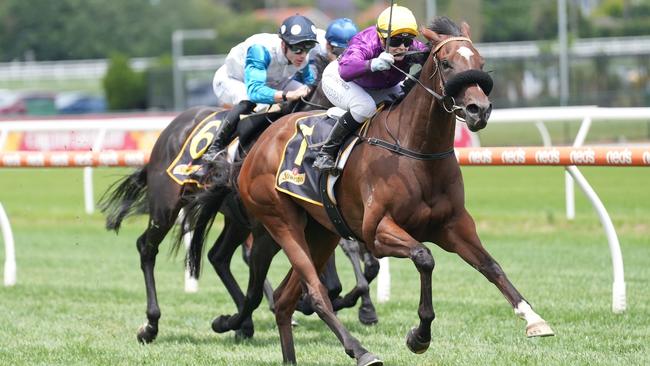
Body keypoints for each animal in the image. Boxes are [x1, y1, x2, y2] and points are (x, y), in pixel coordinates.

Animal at [98, 55, 378, 344]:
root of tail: (170, 130)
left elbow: (334, 278)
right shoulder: (279, 226)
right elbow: (323, 279)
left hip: (236, 220)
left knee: (217, 256)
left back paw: (244, 324)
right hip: (167, 207)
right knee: (147, 247)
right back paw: (151, 324)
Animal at [199, 17, 552, 366]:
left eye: (480, 62)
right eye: (447, 63)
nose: (480, 110)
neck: (416, 151)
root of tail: (257, 147)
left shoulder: (454, 226)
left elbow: (491, 266)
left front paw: (533, 318)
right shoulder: (377, 231)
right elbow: (424, 258)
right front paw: (419, 336)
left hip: (321, 231)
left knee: (287, 298)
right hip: (279, 222)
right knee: (313, 292)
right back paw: (359, 350)